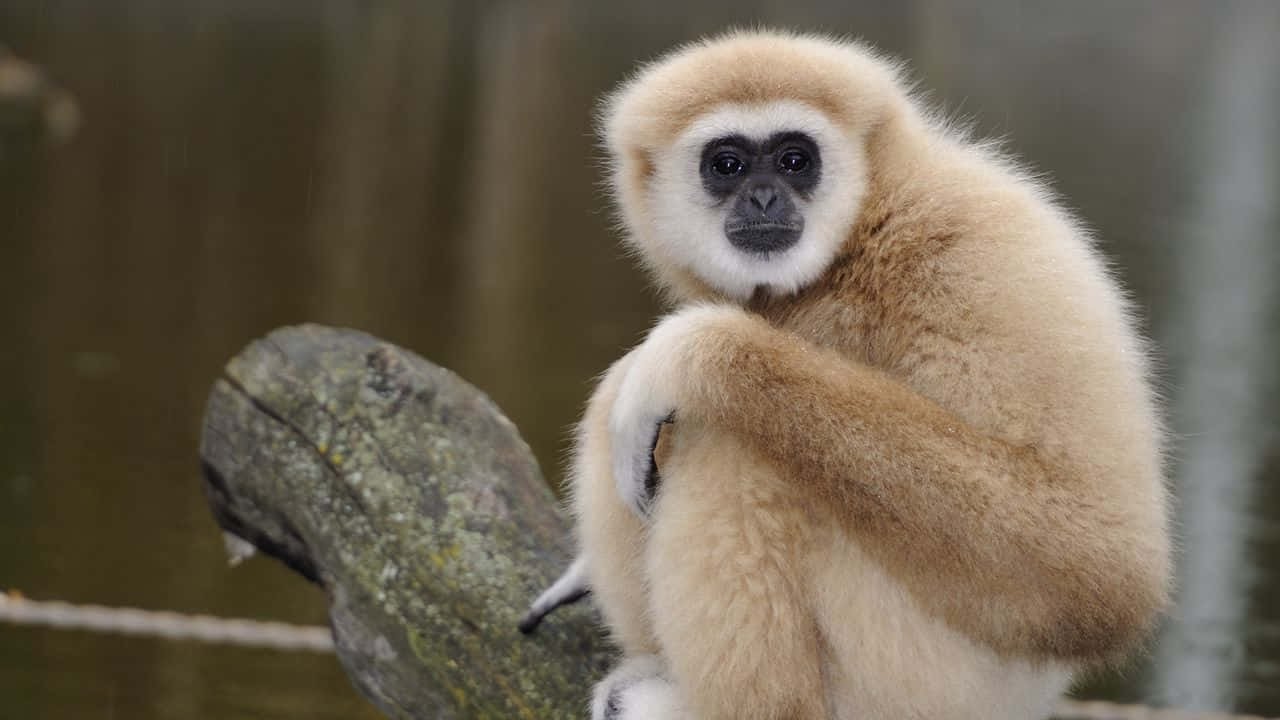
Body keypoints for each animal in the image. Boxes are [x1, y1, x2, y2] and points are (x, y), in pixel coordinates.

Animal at [525, 30, 1172, 720]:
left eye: (794, 160)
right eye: (727, 165)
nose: (763, 197)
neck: (860, 235)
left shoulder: (979, 254)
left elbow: (1096, 570)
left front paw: (692, 352)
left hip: (915, 681)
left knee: (726, 442)